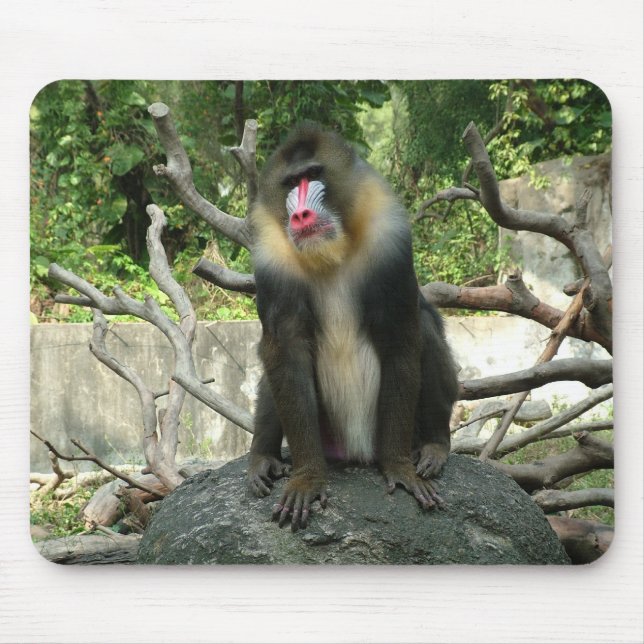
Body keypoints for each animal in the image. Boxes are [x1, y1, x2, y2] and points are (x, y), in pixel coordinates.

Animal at [246, 123, 459, 531]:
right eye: (291, 182)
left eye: (313, 174)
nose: (300, 215)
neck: (332, 254)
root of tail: (355, 450)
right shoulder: (271, 261)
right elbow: (285, 349)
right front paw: (307, 478)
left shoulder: (390, 241)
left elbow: (402, 337)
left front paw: (399, 468)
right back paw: (262, 457)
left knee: (425, 327)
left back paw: (434, 446)